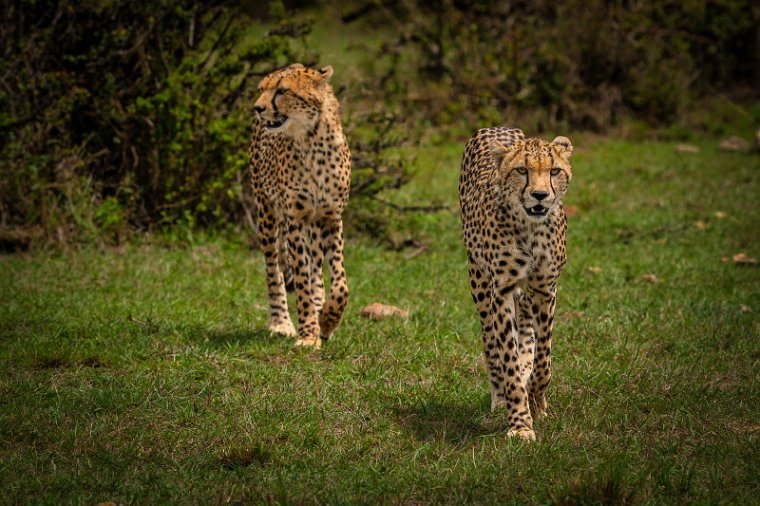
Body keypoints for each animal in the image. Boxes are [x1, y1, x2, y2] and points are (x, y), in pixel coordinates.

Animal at [252, 63, 354, 350]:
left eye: (282, 91)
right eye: (262, 89)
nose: (257, 108)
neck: (313, 140)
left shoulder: (331, 217)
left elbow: (340, 285)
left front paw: (327, 321)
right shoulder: (294, 220)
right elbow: (301, 283)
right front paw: (308, 333)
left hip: (314, 225)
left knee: (316, 268)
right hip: (267, 213)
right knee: (273, 268)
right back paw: (281, 323)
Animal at [458, 126, 576, 438]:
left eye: (554, 171)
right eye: (522, 170)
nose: (540, 195)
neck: (530, 228)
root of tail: (496, 128)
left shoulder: (545, 287)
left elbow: (543, 359)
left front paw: (537, 401)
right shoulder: (501, 288)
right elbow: (507, 358)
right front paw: (520, 424)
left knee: (525, 330)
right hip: (479, 280)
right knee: (490, 340)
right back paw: (500, 397)